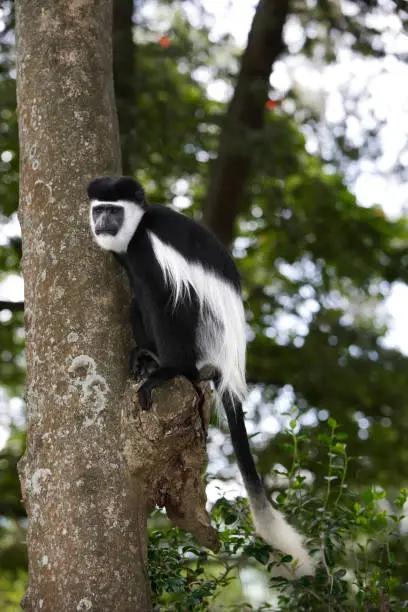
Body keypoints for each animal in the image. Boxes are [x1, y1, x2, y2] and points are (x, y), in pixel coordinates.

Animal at [87, 175, 314, 576]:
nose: (102, 224)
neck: (138, 227)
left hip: (204, 333)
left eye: (113, 211)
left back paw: (175, 370)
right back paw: (148, 357)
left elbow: (165, 296)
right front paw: (142, 355)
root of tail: (227, 365)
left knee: (171, 299)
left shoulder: (148, 248)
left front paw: (164, 370)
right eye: (99, 210)